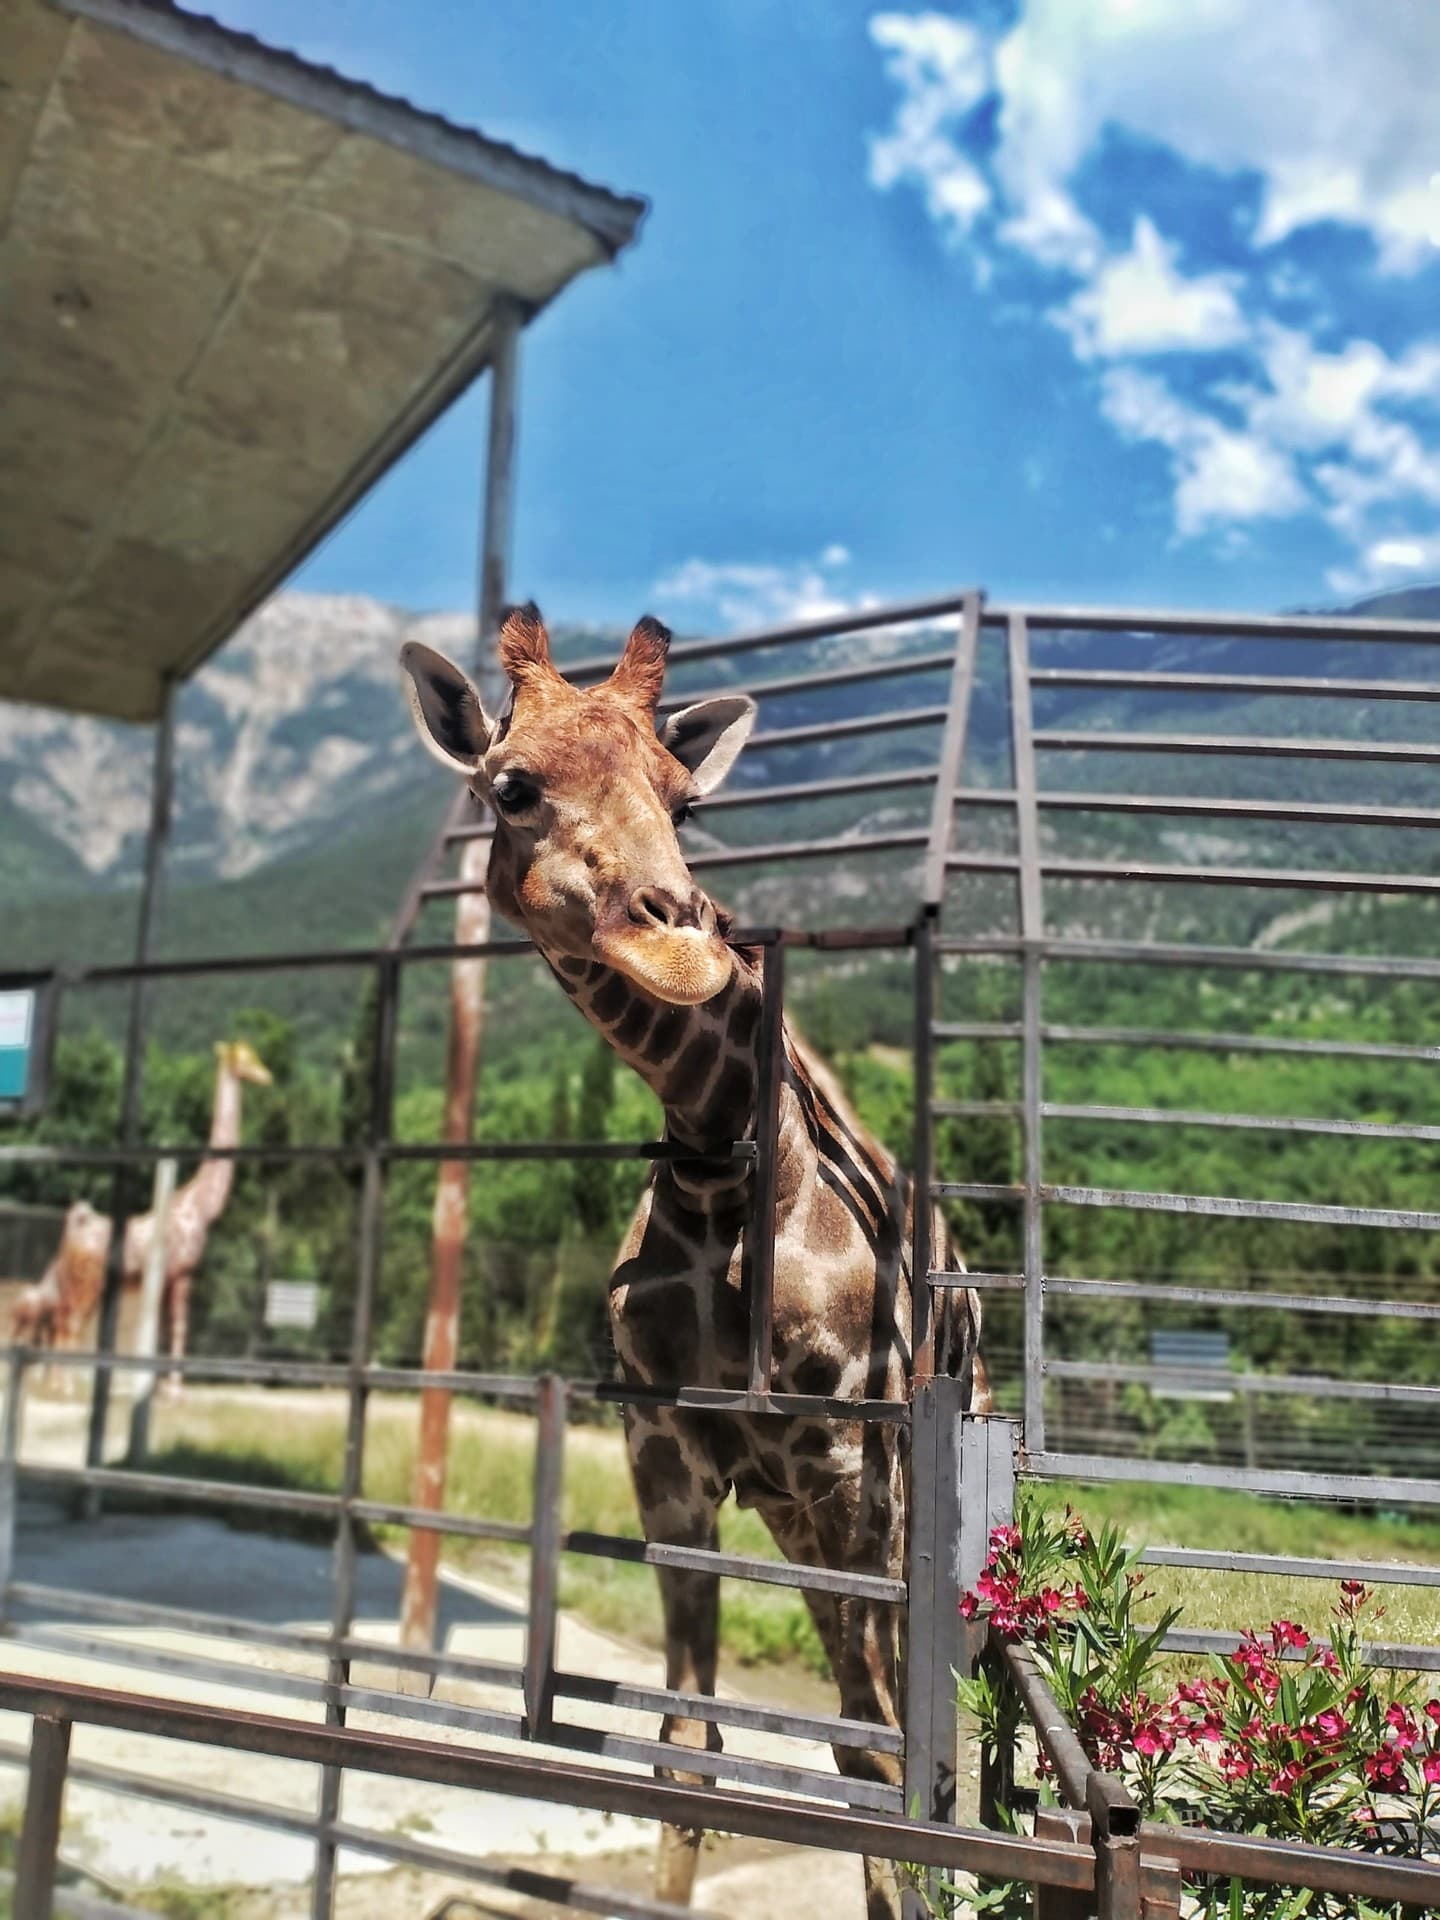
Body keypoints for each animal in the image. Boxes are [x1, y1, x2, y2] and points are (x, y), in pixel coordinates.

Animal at [12, 1041, 272, 1390]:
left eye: (254, 1056)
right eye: (244, 1059)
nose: (267, 1076)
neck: (200, 1206)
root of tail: (72, 1230)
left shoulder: (164, 1280)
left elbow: (159, 1331)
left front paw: (155, 1385)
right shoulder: (183, 1273)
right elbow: (178, 1327)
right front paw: (174, 1390)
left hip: (83, 1284)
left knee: (65, 1322)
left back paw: (58, 1383)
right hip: (87, 1282)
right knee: (69, 1323)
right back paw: (65, 1386)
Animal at [401, 607, 988, 1920]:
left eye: (684, 797)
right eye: (511, 787)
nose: (686, 950)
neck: (732, 1175)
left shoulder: (850, 1468)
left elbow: (879, 1753)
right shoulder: (666, 1454)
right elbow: (688, 1749)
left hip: (905, 1505)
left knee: (917, 1727)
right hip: (794, 1517)